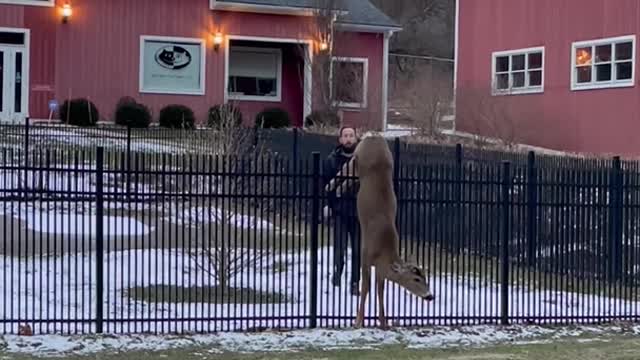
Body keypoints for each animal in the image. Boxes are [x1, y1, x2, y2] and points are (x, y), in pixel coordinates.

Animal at [324, 132, 436, 330]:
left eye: (425, 277)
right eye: (416, 279)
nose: (430, 296)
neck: (384, 251)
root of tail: (374, 136)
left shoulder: (381, 270)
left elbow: (380, 291)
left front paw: (384, 322)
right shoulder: (365, 255)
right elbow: (366, 288)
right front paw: (358, 322)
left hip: (376, 162)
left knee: (351, 172)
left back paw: (337, 190)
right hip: (361, 156)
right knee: (347, 165)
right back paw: (330, 186)